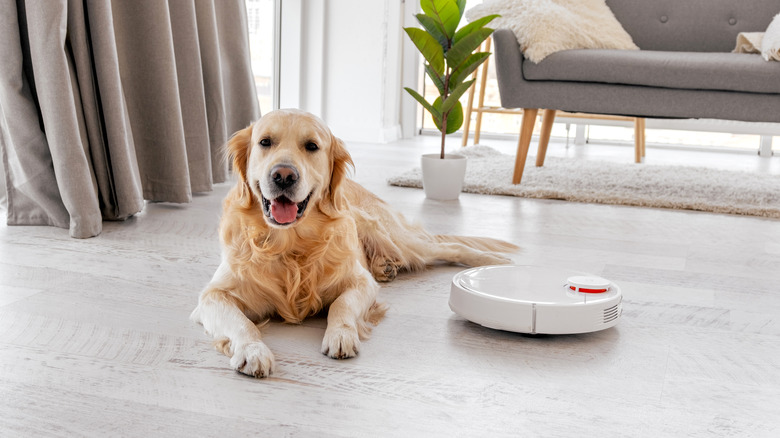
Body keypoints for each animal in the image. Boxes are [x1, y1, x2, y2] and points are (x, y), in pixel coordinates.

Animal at [189, 108, 516, 376]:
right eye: (265, 142)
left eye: (312, 146)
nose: (283, 175)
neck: (291, 245)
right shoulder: (212, 296)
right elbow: (241, 323)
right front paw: (252, 351)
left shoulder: (359, 282)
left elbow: (341, 305)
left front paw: (341, 335)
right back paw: (386, 266)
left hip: (405, 242)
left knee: (449, 246)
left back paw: (496, 262)